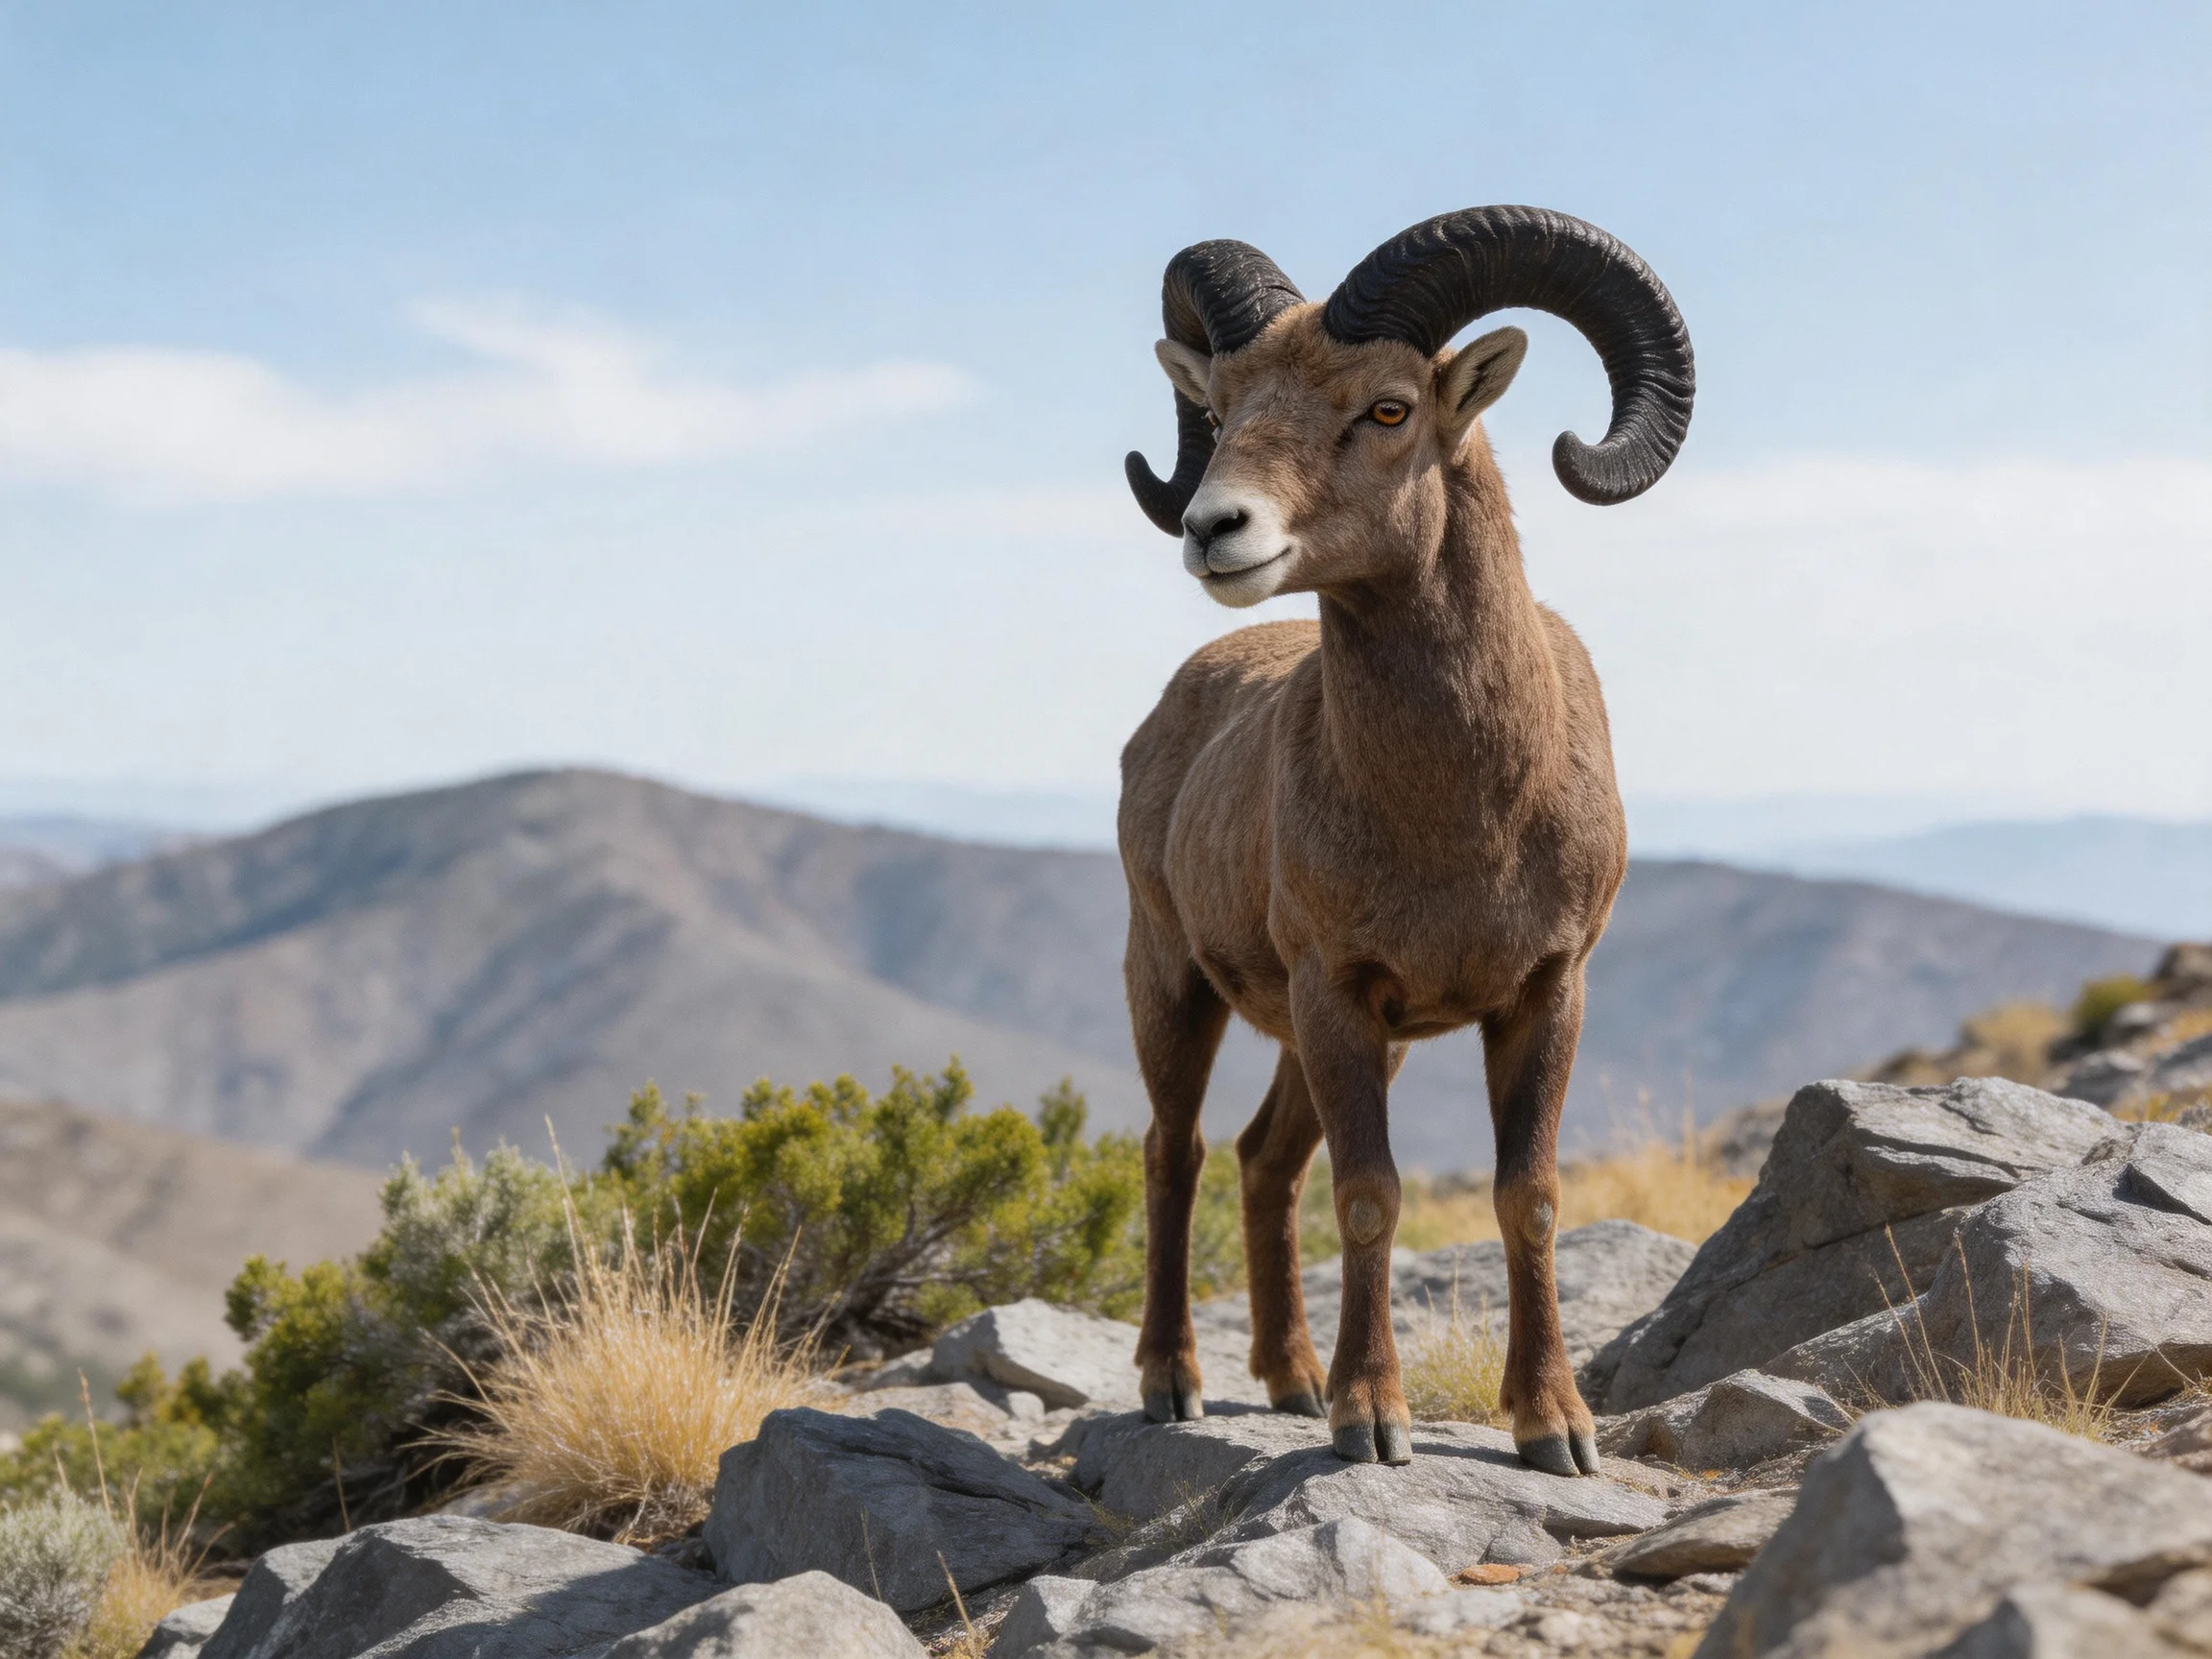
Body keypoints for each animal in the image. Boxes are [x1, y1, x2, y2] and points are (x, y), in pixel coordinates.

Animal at [1117, 207, 1694, 1474]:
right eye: (1223, 408)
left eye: (1387, 409)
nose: (1215, 530)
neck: (1462, 821)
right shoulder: (1339, 994)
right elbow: (1371, 1195)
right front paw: (1371, 1422)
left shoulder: (1543, 995)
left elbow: (1528, 1196)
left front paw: (1554, 1428)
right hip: (1174, 989)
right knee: (1177, 1154)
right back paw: (1175, 1387)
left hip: (1314, 1041)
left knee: (1263, 1160)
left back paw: (1285, 1380)